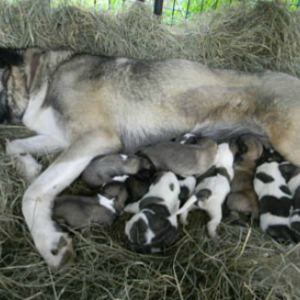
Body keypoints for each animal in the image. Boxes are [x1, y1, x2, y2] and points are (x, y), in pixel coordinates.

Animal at [0, 48, 300, 268]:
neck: (40, 78)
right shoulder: (63, 139)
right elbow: (13, 146)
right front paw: (28, 166)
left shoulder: (94, 138)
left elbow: (34, 192)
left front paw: (49, 243)